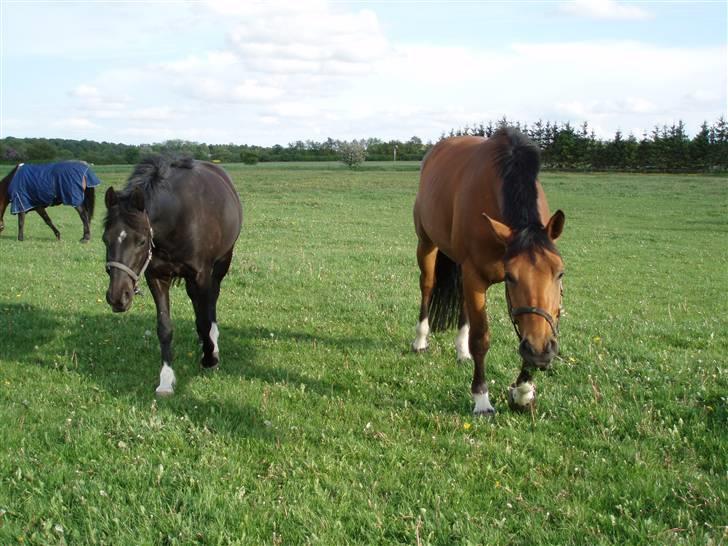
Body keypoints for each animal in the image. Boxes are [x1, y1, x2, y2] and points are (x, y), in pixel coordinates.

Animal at [103, 155, 245, 394]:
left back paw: (212, 343)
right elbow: (165, 328)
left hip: (222, 262)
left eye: (141, 241)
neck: (179, 216)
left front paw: (209, 359)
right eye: (105, 239)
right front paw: (166, 380)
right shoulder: (157, 277)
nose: (117, 297)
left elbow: (204, 319)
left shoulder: (201, 275)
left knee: (211, 301)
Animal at [412, 127, 564, 414]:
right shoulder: (475, 276)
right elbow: (481, 337)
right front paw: (481, 398)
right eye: (511, 277)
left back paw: (461, 350)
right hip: (426, 245)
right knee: (427, 285)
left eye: (559, 273)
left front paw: (523, 391)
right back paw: (420, 340)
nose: (540, 351)